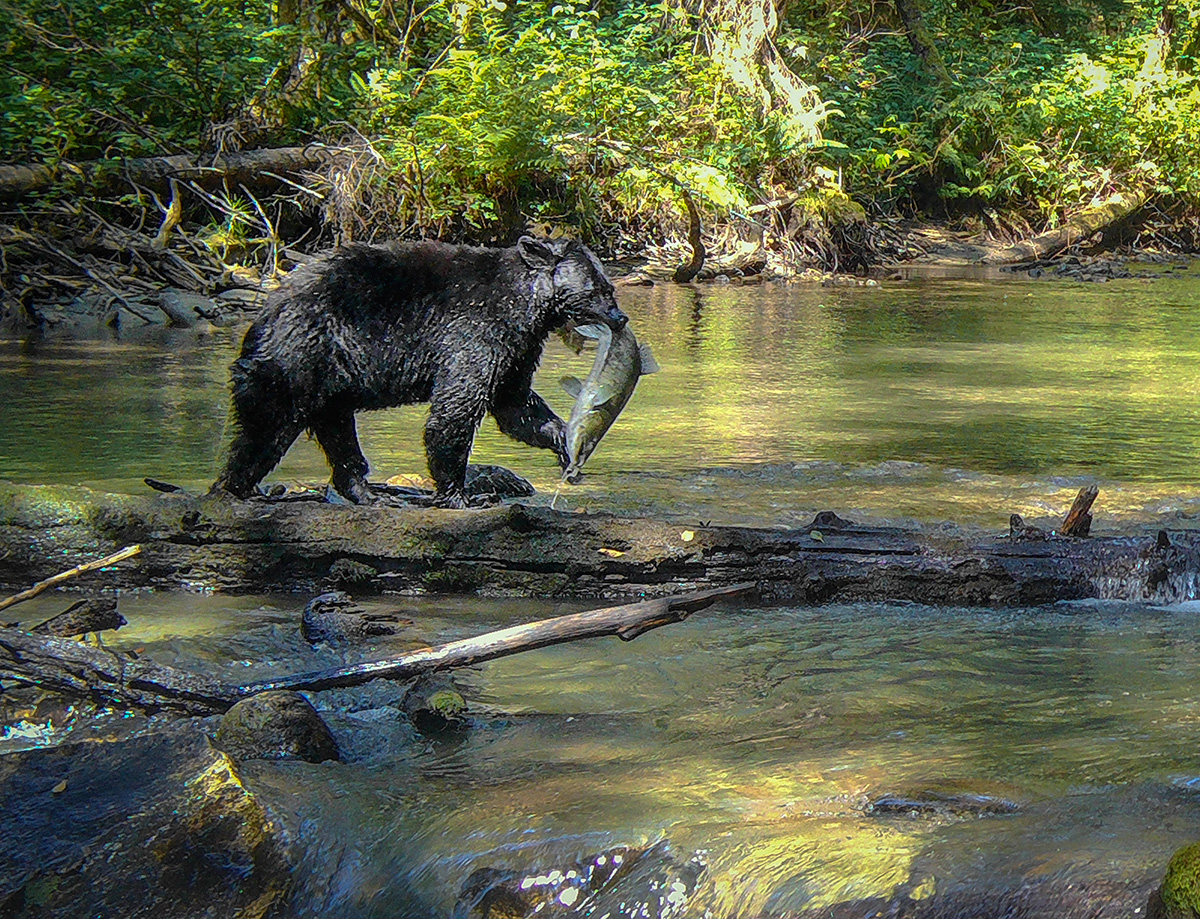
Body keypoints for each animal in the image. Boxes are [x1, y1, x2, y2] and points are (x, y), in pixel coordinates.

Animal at [211, 235, 628, 511]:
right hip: (298, 358)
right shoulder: (475, 330)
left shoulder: (519, 348)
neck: (525, 301)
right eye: (601, 289)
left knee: (337, 431)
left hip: (328, 378)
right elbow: (457, 407)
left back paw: (367, 491)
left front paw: (568, 444)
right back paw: (238, 487)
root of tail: (263, 317)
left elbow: (516, 406)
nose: (620, 317)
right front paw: (464, 495)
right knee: (267, 427)